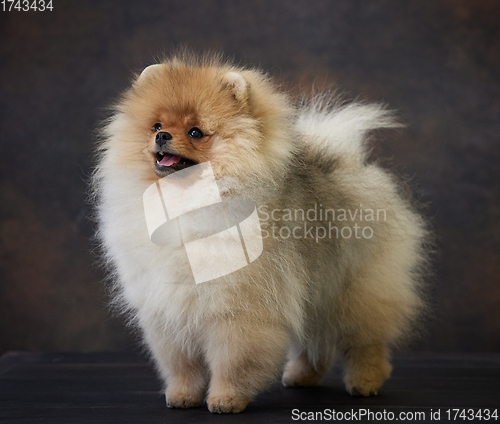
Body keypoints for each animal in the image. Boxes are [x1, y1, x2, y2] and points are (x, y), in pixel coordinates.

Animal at [92, 53, 428, 414]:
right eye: (156, 126)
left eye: (196, 132)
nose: (162, 136)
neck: (188, 200)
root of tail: (348, 165)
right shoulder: (168, 308)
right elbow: (181, 362)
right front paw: (182, 395)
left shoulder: (240, 307)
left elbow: (233, 360)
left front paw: (226, 399)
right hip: (313, 290)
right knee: (314, 340)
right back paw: (301, 375)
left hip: (354, 290)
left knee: (365, 341)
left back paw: (365, 382)